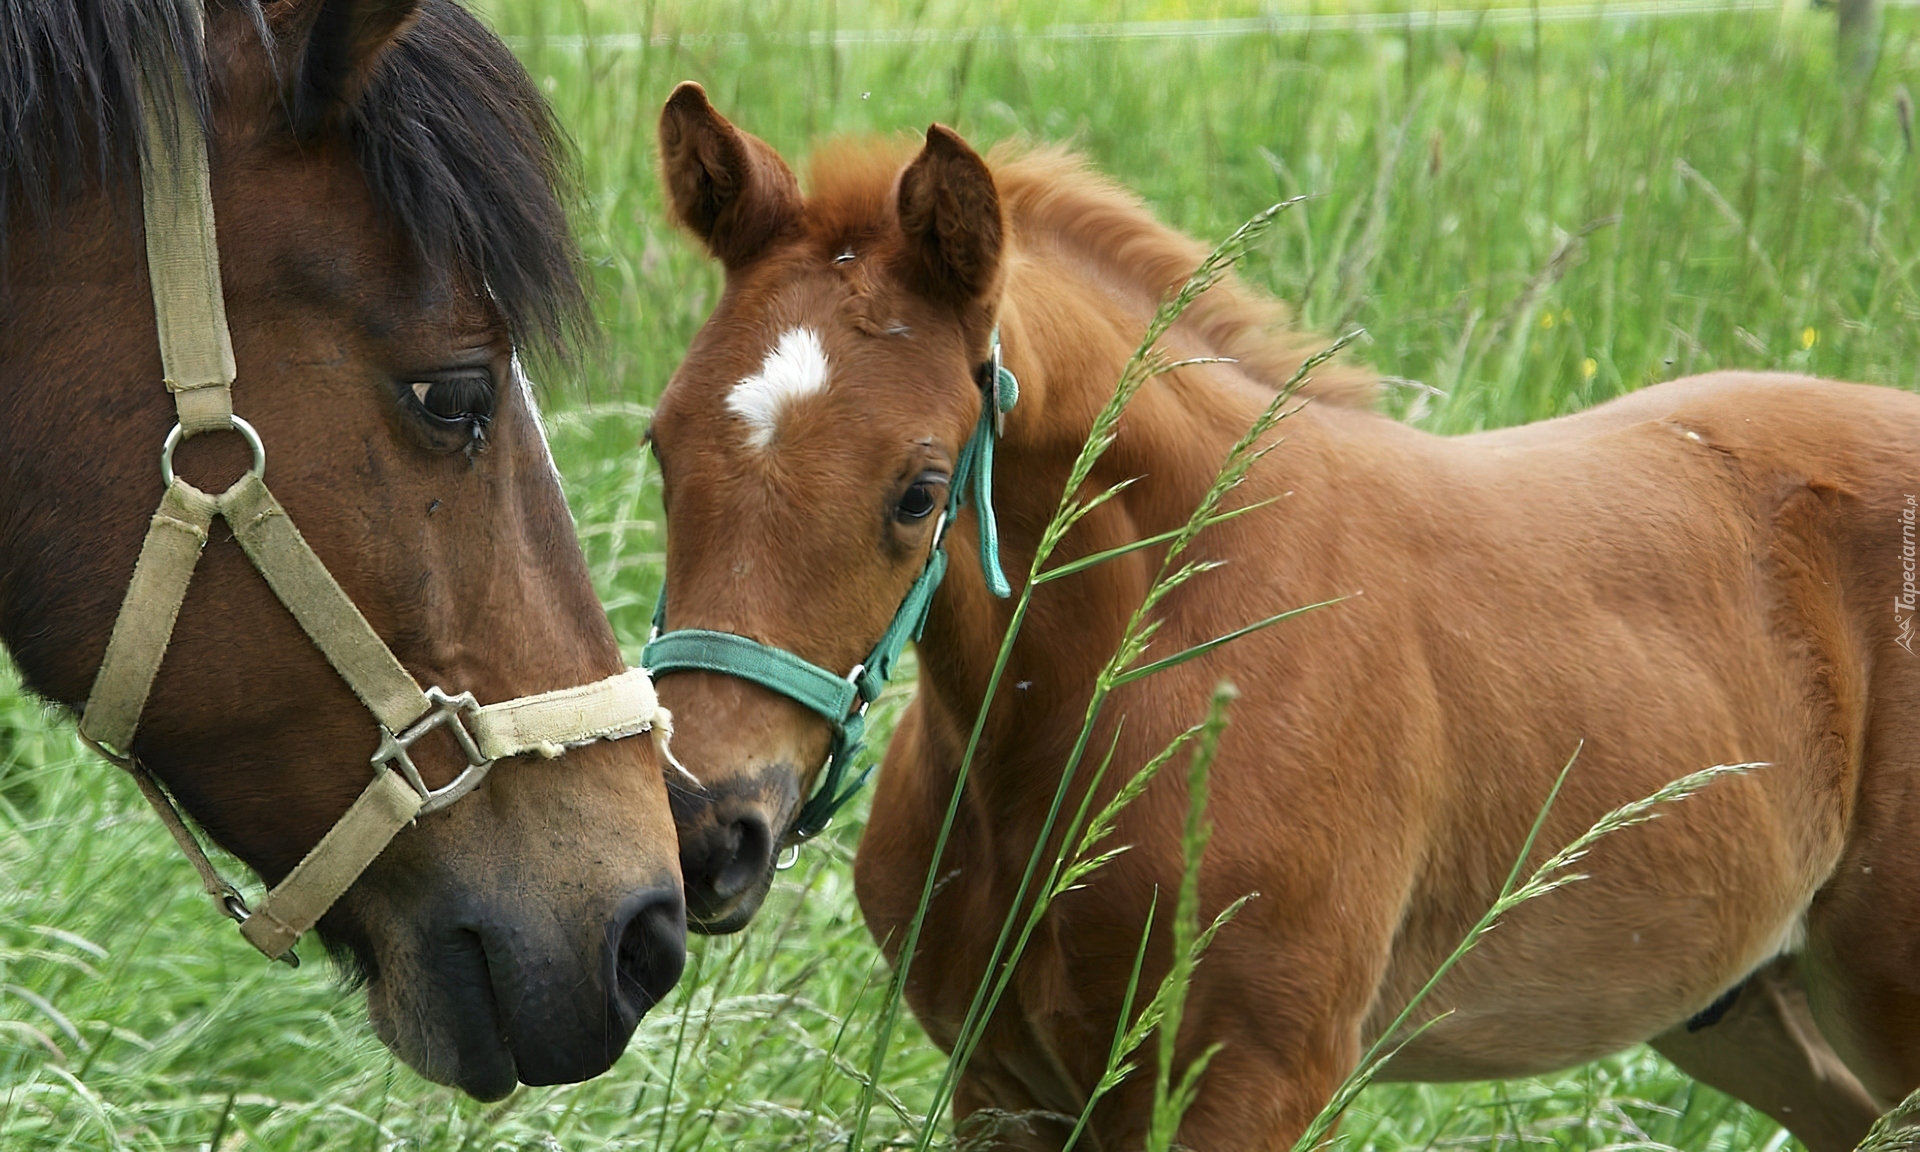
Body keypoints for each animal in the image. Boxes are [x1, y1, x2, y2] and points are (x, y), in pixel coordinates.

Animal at [648, 87, 1920, 1152]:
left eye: (918, 490)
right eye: (661, 445)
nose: (708, 831)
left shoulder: (1252, 1085)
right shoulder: (1004, 1087)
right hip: (1744, 1002)